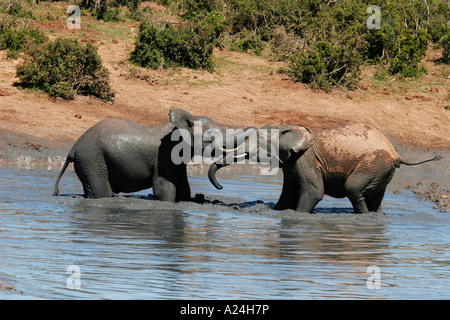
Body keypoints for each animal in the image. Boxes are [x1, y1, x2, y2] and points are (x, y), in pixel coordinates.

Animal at [53, 109, 255, 201]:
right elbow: (164, 190)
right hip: (92, 159)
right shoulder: (165, 154)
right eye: (211, 138)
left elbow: (183, 188)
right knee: (102, 193)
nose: (221, 187)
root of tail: (73, 148)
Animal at [209, 124, 442, 214]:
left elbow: (314, 192)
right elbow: (288, 193)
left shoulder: (305, 161)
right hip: (381, 170)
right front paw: (276, 211)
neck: (289, 129)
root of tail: (396, 153)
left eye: (258, 148)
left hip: (373, 165)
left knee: (353, 189)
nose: (220, 187)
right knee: (375, 197)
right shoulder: (291, 164)